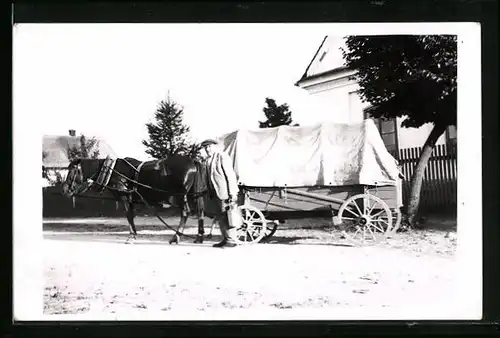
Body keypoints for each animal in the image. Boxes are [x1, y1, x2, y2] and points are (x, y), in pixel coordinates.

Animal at [61, 154, 210, 244]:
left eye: (72, 170)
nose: (65, 189)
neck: (111, 171)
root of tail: (192, 161)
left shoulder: (125, 197)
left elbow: (128, 215)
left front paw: (131, 236)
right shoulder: (131, 199)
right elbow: (131, 215)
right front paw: (133, 234)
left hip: (180, 195)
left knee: (185, 212)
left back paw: (176, 236)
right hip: (193, 194)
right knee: (200, 211)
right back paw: (199, 237)